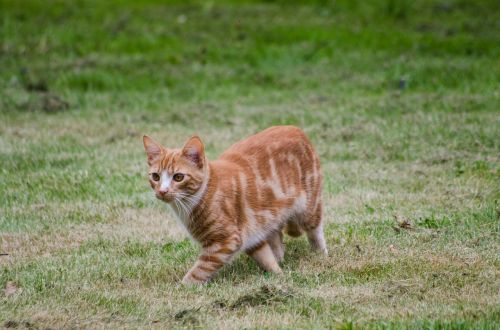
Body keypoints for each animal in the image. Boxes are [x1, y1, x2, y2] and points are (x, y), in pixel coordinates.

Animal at [142, 125, 328, 284]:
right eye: (156, 177)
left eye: (178, 177)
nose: (162, 191)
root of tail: (295, 128)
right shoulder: (251, 235)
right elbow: (266, 257)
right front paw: (279, 275)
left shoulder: (226, 241)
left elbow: (199, 270)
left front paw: (182, 287)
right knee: (276, 237)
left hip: (309, 207)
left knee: (315, 230)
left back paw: (321, 254)